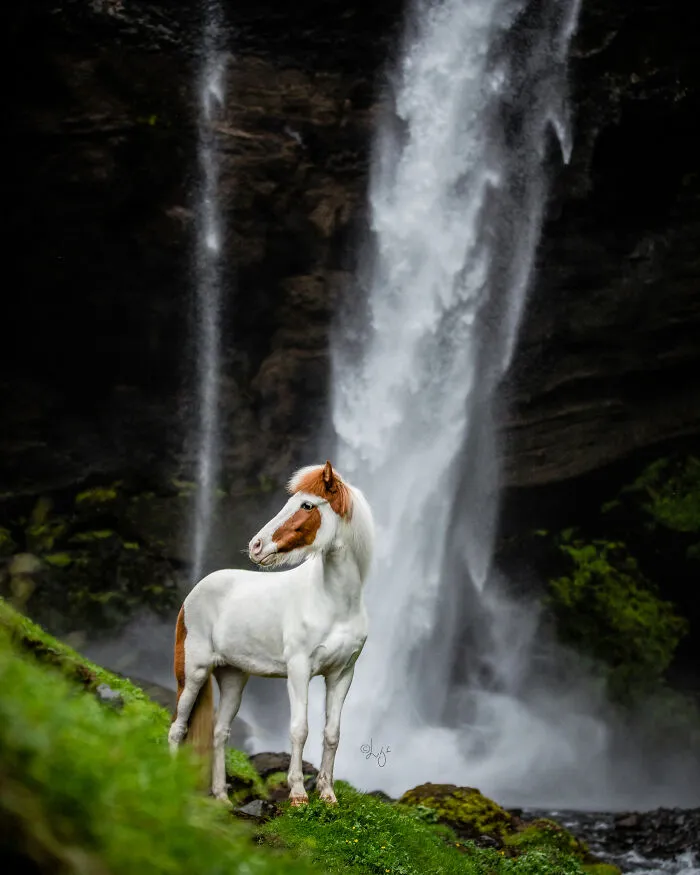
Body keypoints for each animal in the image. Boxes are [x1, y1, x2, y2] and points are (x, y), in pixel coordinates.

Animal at [168, 461, 374, 805]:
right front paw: (298, 794)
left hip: (233, 677)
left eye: (307, 505)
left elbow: (332, 733)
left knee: (219, 732)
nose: (256, 545)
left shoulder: (343, 674)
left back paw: (221, 797)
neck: (334, 604)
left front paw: (328, 795)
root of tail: (194, 592)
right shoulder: (299, 670)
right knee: (177, 727)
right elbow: (299, 729)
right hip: (192, 673)